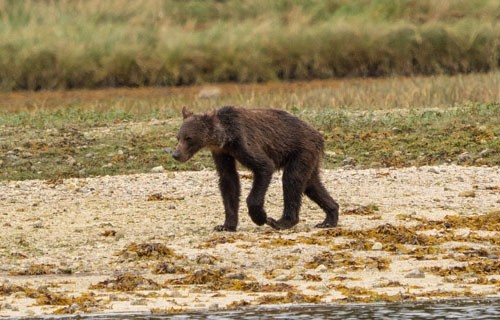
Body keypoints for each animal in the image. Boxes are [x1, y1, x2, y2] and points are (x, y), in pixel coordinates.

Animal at [172, 106, 340, 231]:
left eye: (189, 138)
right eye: (178, 137)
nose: (176, 154)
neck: (226, 137)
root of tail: (318, 134)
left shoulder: (244, 141)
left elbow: (264, 166)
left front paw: (260, 217)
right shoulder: (222, 153)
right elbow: (228, 181)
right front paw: (225, 225)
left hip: (301, 150)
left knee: (292, 180)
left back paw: (281, 222)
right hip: (309, 157)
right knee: (311, 184)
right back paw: (329, 218)